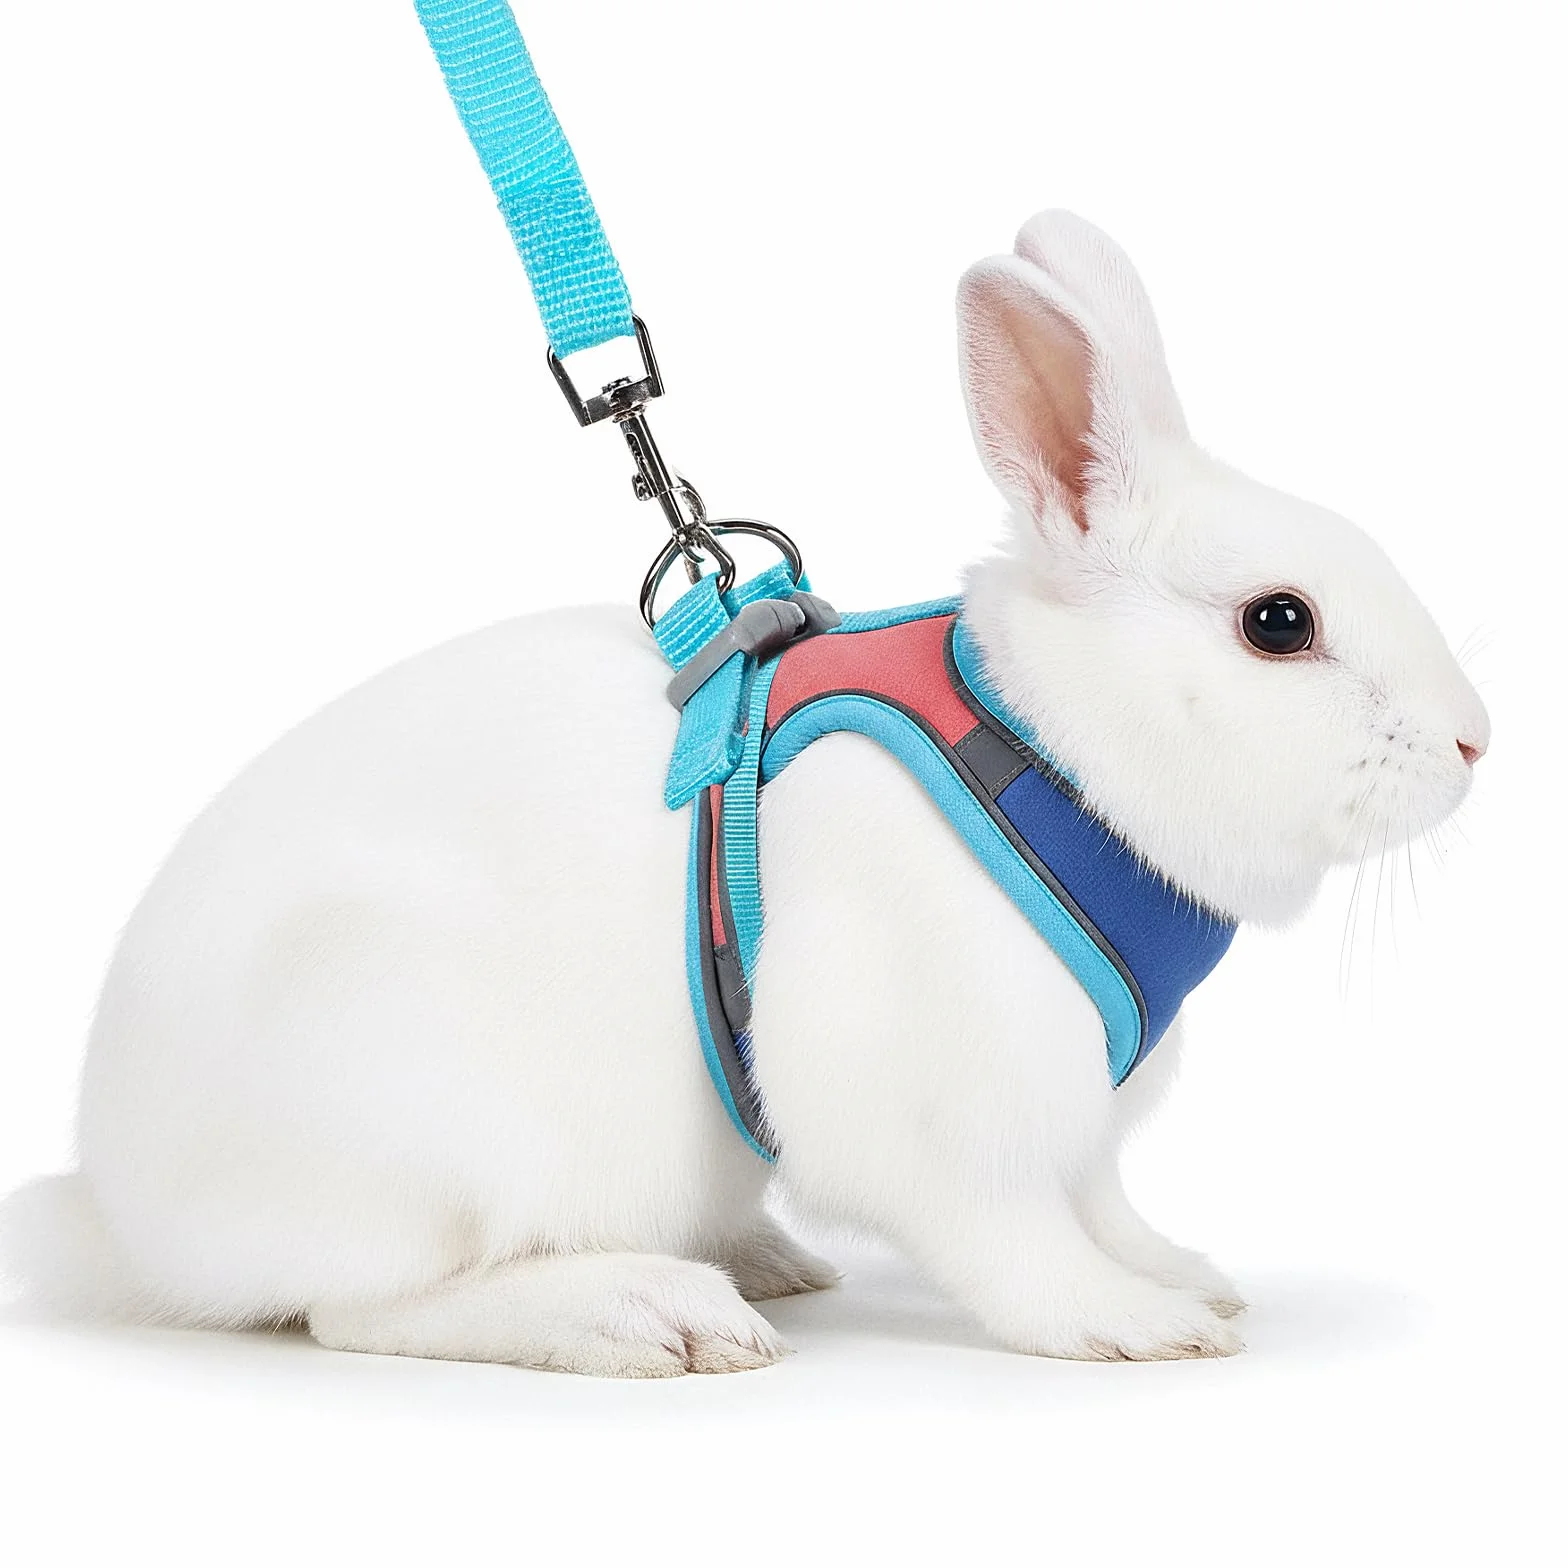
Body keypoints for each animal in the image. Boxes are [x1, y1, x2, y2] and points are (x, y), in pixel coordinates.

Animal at [0, 210, 1489, 1375]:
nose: (1476, 742)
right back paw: (652, 1312)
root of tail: (126, 1213)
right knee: (365, 1308)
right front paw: (1131, 1324)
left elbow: (1105, 1202)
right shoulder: (940, 1103)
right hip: (421, 1121)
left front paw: (1179, 1272)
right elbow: (1013, 1241)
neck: (1049, 748)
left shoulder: (1081, 1126)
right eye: (1278, 623)